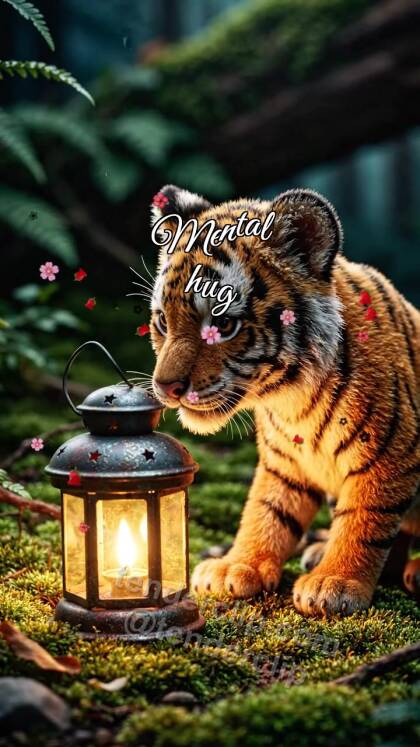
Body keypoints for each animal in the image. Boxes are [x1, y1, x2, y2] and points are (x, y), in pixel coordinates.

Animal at [147, 184, 420, 617]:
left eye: (223, 324)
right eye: (162, 321)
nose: (165, 387)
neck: (292, 400)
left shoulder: (389, 457)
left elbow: (364, 520)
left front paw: (335, 582)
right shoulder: (283, 462)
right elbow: (267, 511)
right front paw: (236, 566)